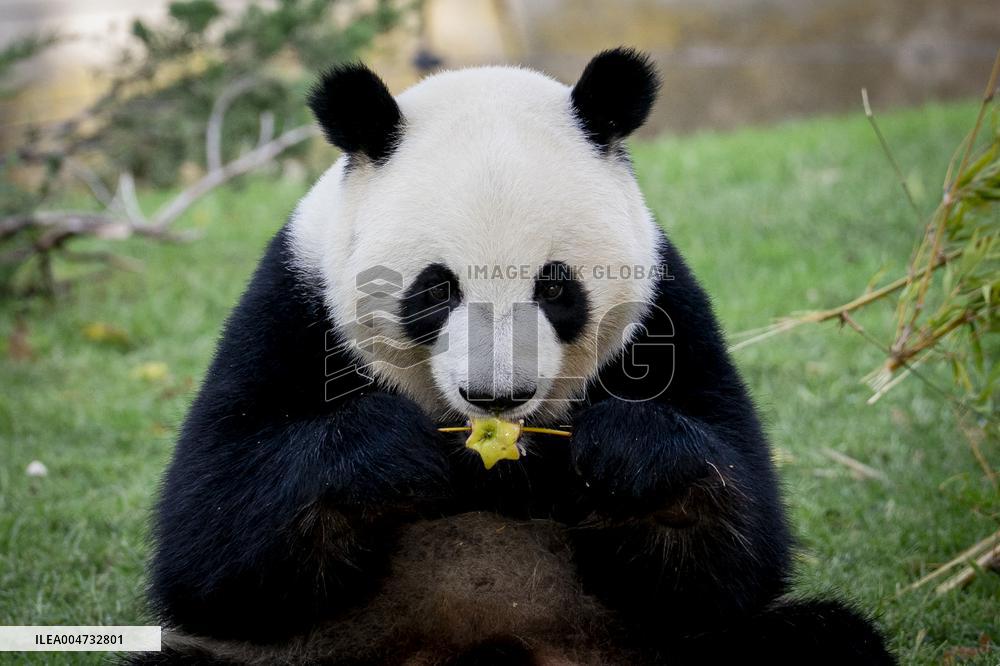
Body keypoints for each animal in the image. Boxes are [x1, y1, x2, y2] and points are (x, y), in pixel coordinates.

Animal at [135, 49, 894, 665]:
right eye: (435, 289)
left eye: (555, 287)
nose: (495, 396)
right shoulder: (294, 302)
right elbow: (211, 534)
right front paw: (392, 454)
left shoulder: (668, 311)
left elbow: (735, 548)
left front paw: (623, 454)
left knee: (823, 638)